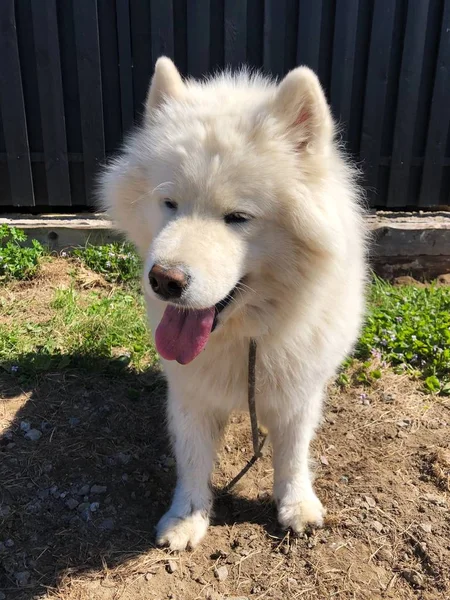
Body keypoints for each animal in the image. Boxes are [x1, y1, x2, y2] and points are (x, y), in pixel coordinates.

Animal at [100, 58, 368, 552]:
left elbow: (292, 454)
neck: (246, 334)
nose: (164, 280)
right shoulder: (189, 393)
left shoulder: (300, 392)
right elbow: (192, 459)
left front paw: (296, 506)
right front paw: (187, 518)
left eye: (238, 218)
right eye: (169, 203)